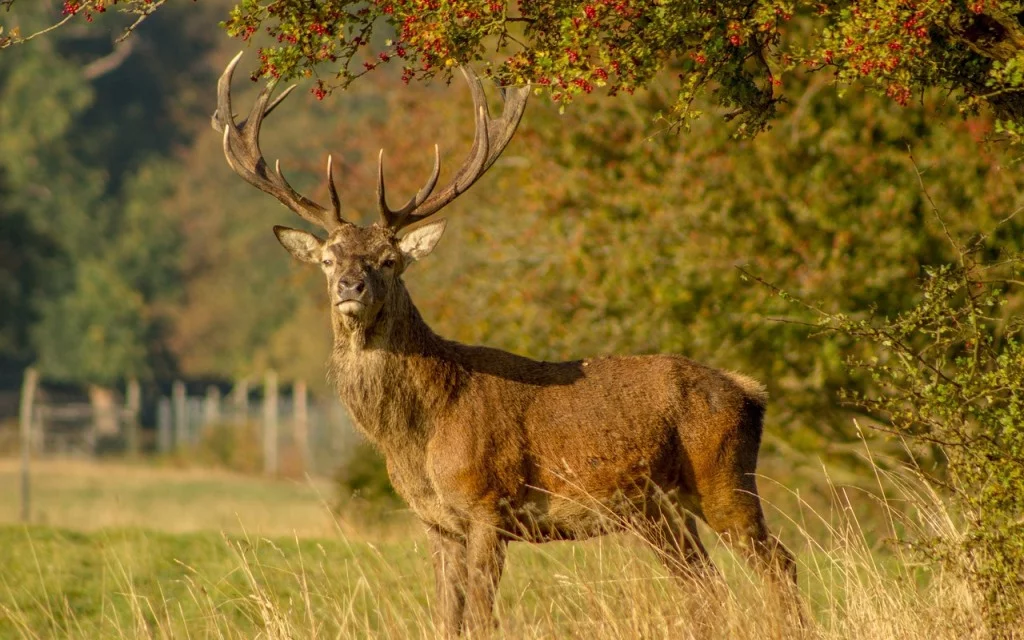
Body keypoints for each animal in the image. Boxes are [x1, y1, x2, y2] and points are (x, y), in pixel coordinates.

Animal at [209, 51, 798, 634]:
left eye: (390, 260)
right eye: (329, 259)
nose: (350, 286)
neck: (418, 438)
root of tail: (751, 391)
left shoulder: (488, 504)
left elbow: (480, 619)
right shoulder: (437, 524)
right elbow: (446, 619)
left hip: (724, 478)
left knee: (779, 565)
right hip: (659, 510)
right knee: (707, 587)